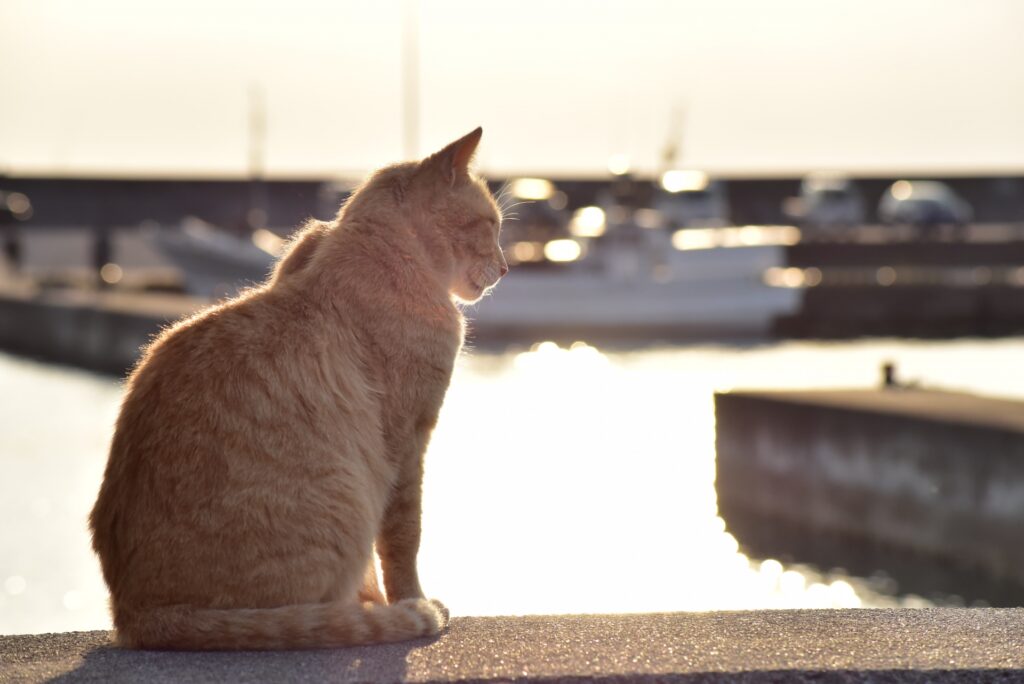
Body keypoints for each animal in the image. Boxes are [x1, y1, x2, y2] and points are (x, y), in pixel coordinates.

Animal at [90, 129, 505, 651]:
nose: (506, 267)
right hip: (345, 494)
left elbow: (377, 562)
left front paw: (379, 603)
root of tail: (134, 614)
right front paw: (409, 603)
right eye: (489, 225)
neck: (386, 251)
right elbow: (403, 538)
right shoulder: (406, 441)